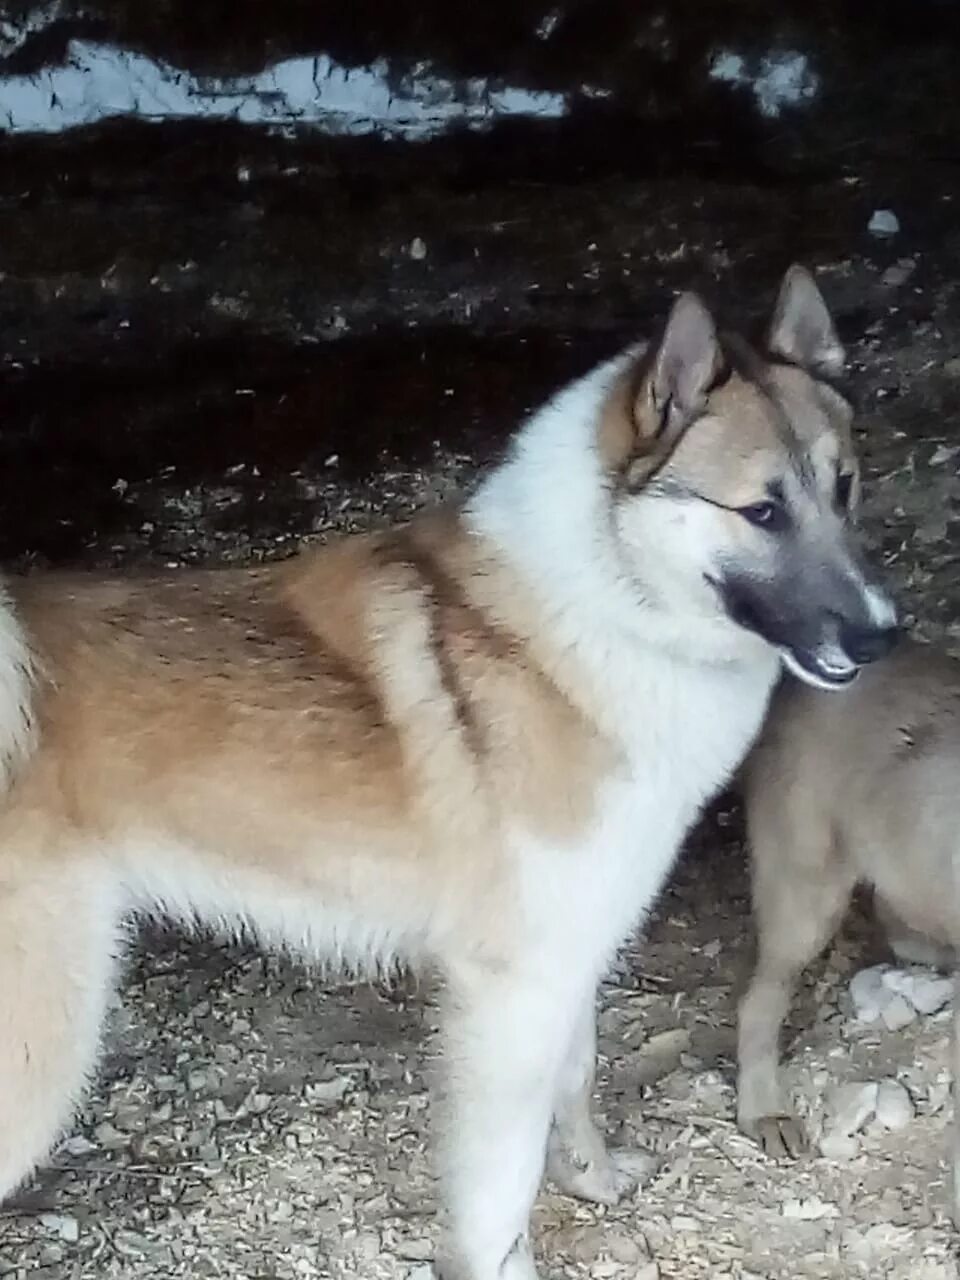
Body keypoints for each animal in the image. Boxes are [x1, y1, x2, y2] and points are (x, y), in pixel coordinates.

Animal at [0, 264, 901, 1274]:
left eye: (846, 490)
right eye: (762, 512)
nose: (884, 637)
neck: (593, 614)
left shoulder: (568, 954)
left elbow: (576, 1083)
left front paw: (591, 1180)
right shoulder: (509, 993)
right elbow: (498, 1191)